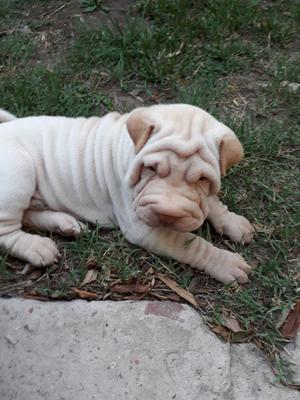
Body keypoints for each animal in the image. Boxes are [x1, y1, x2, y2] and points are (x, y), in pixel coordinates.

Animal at [0, 104, 255, 282]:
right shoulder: (142, 228)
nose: (168, 214)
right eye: (151, 168)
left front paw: (233, 222)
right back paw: (36, 247)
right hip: (19, 171)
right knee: (7, 231)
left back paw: (64, 223)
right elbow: (189, 243)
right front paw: (226, 263)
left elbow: (212, 202)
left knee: (27, 215)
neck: (131, 148)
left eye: (202, 179)